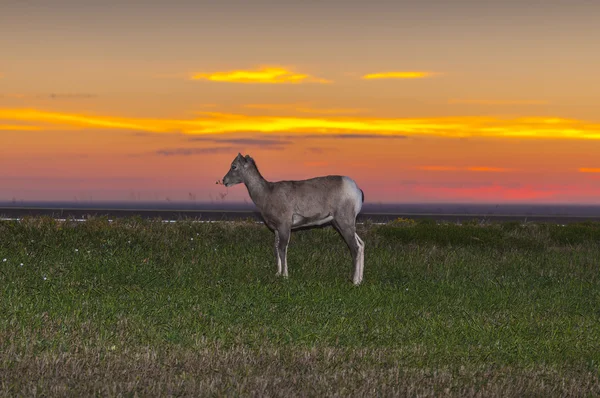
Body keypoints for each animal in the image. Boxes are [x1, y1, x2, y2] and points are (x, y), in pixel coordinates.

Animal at [223, 153, 366, 286]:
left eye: (234, 166)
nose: (224, 181)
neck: (266, 193)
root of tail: (357, 190)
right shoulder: (277, 230)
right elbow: (276, 248)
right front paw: (277, 274)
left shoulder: (284, 227)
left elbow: (282, 248)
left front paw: (285, 276)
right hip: (343, 224)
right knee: (361, 245)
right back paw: (360, 280)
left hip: (344, 223)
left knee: (355, 248)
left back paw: (355, 282)